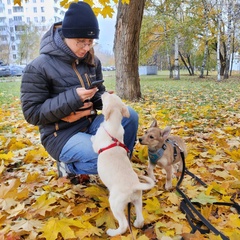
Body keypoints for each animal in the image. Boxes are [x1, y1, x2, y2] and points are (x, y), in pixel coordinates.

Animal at [91, 92, 155, 236]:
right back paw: (136, 224)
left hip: (115, 204)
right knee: (140, 219)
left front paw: (91, 137)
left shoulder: (97, 144)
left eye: (106, 97)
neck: (114, 125)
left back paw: (112, 232)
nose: (106, 91)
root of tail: (134, 185)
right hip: (138, 200)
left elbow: (94, 142)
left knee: (124, 224)